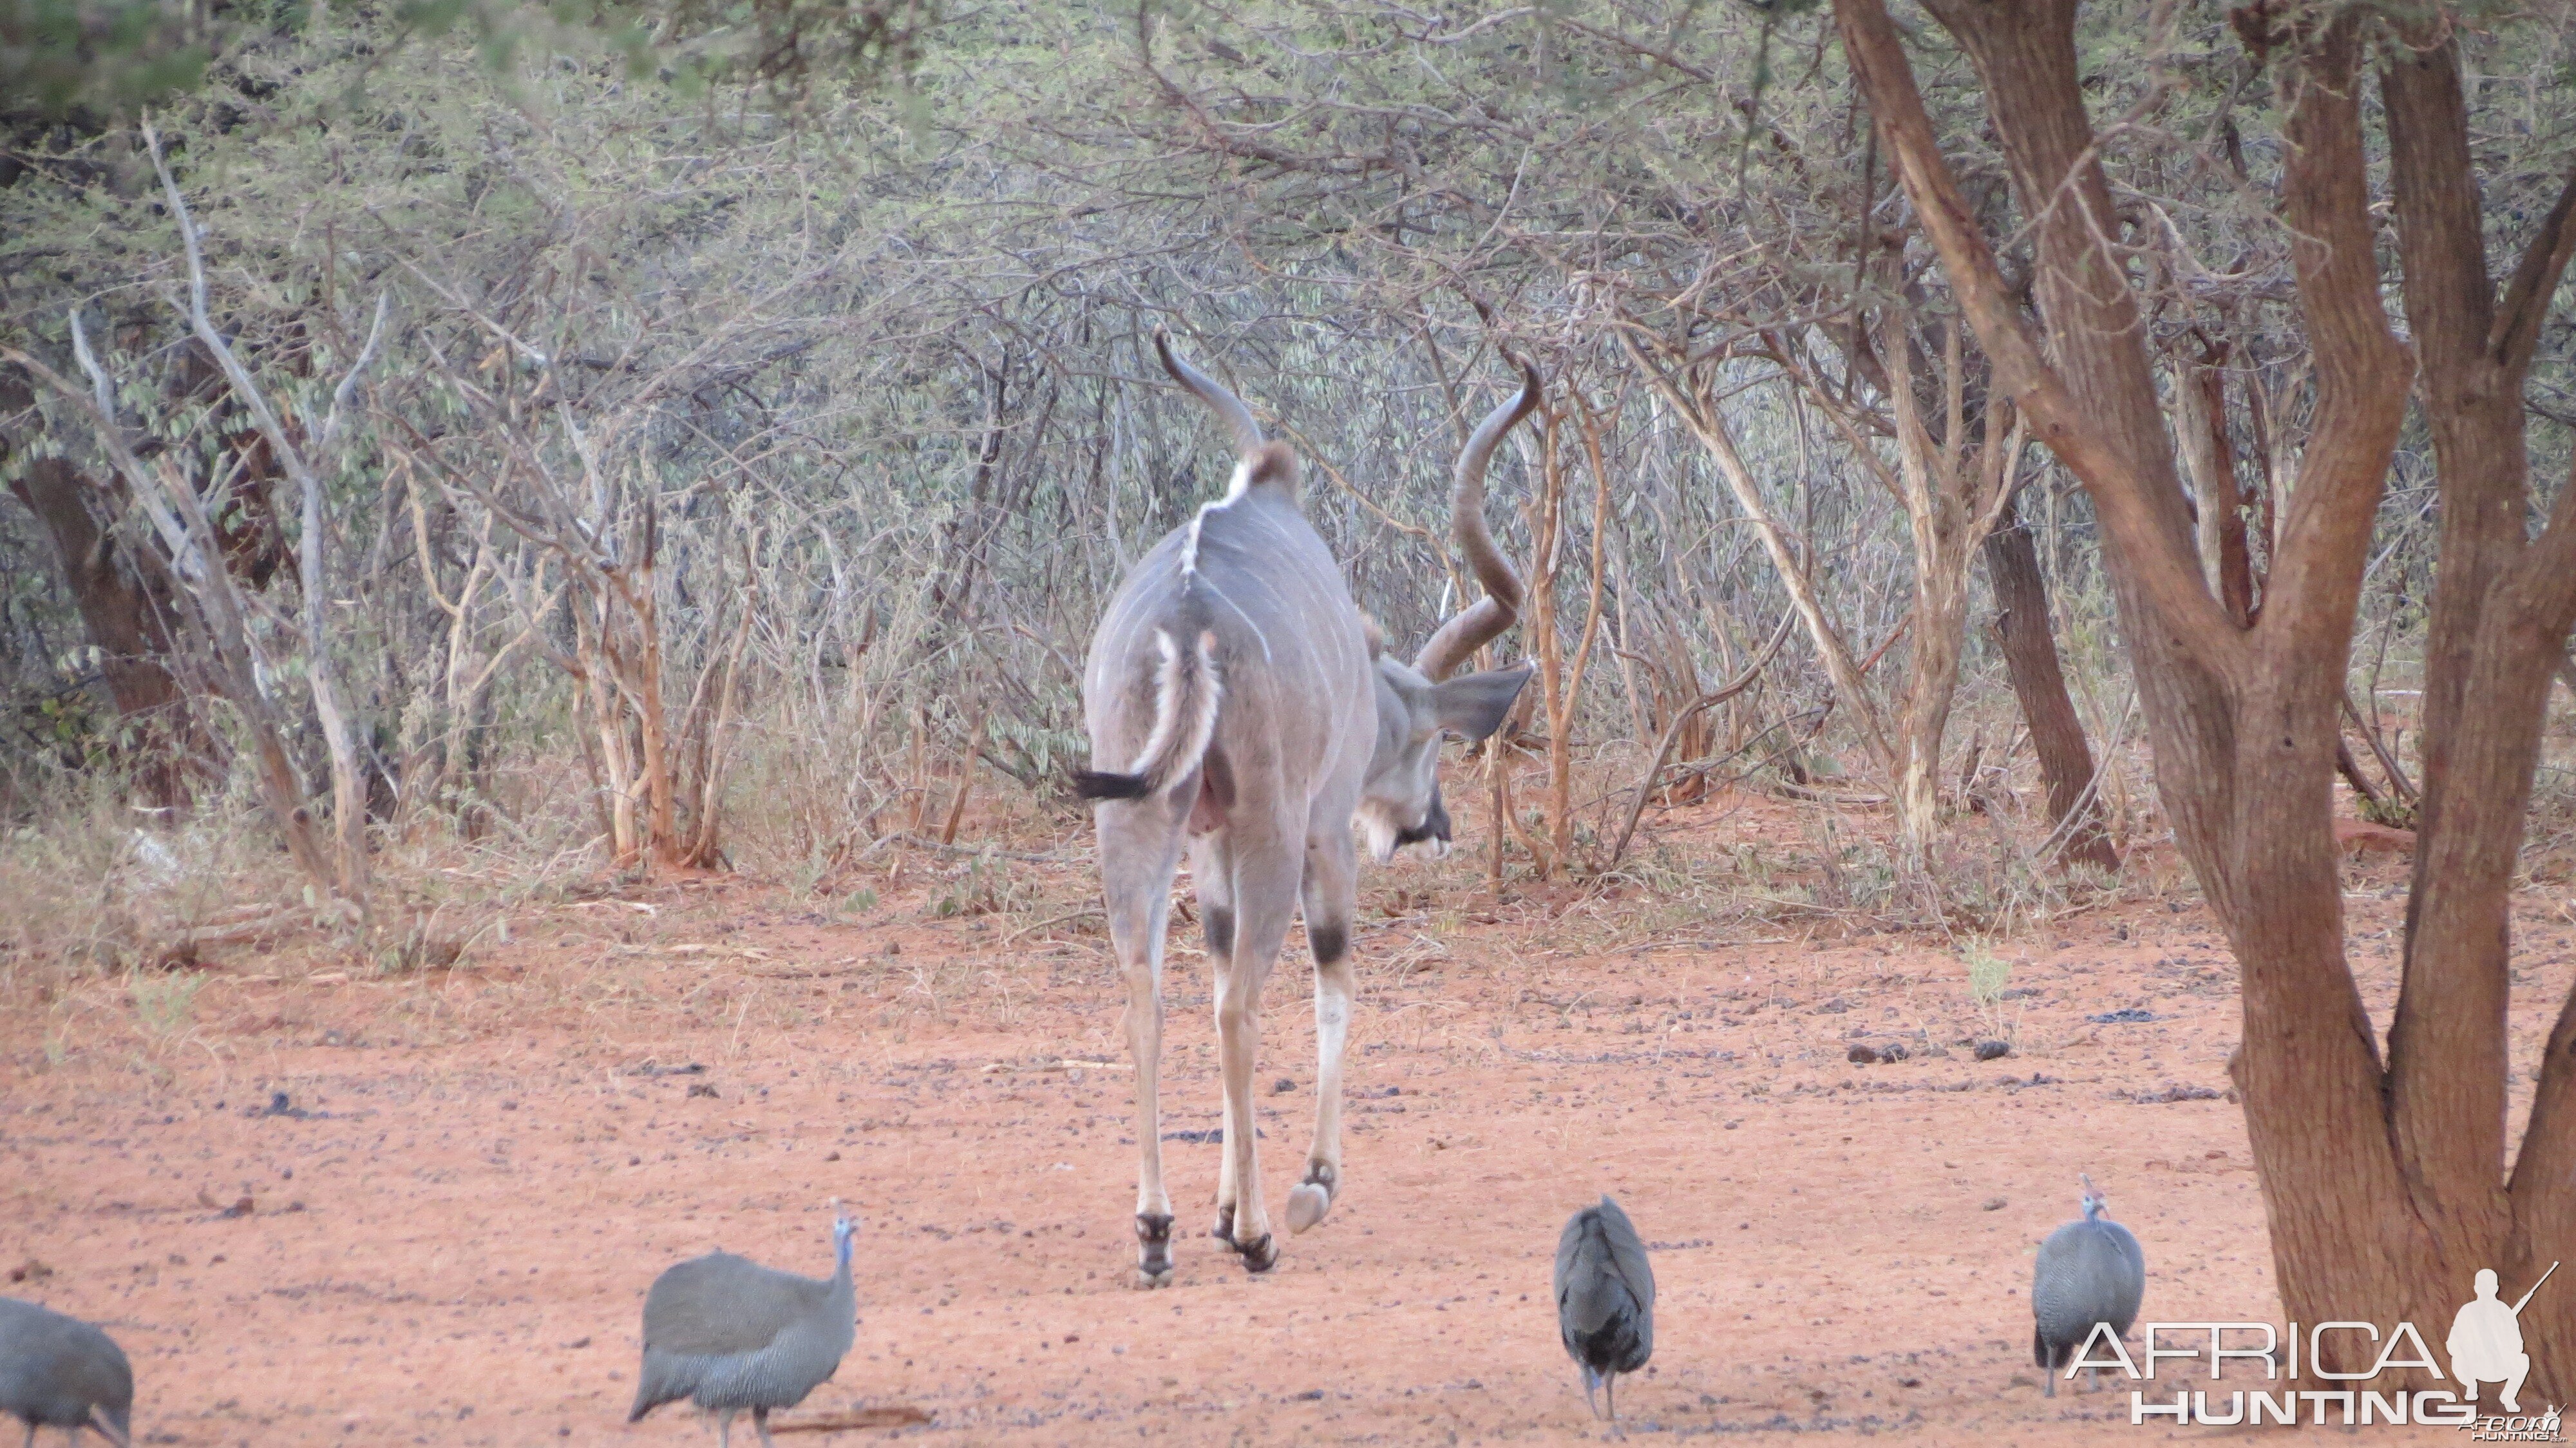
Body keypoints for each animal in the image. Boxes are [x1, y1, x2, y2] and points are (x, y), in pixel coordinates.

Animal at [1077, 332, 1535, 1278]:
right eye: (1430, 745)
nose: (1433, 826)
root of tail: (1188, 623)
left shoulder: (1208, 845)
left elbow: (1214, 963)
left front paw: (1218, 1207)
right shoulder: (1323, 833)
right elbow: (1334, 982)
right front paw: (1310, 1186)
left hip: (1138, 824)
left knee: (1149, 993)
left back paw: (1155, 1230)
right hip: (1276, 831)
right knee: (1239, 1008)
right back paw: (1258, 1237)